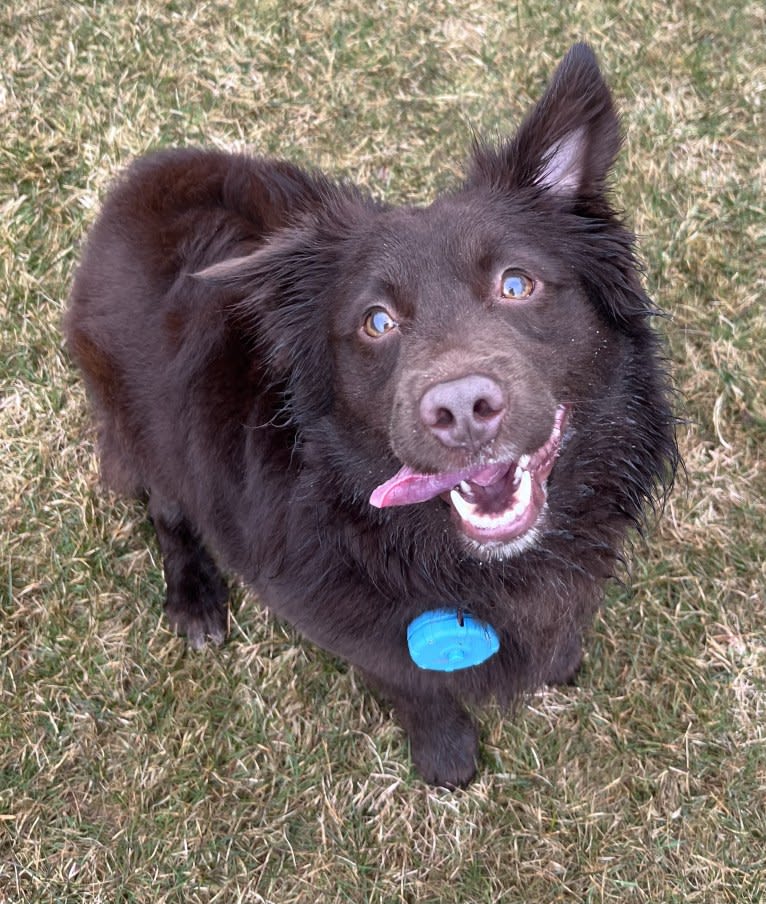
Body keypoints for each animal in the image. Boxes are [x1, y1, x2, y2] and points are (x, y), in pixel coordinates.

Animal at [66, 46, 680, 788]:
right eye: (377, 322)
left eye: (516, 283)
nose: (461, 410)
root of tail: (128, 192)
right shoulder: (343, 619)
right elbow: (412, 683)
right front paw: (448, 757)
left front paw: (560, 660)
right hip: (138, 429)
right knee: (165, 504)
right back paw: (194, 596)